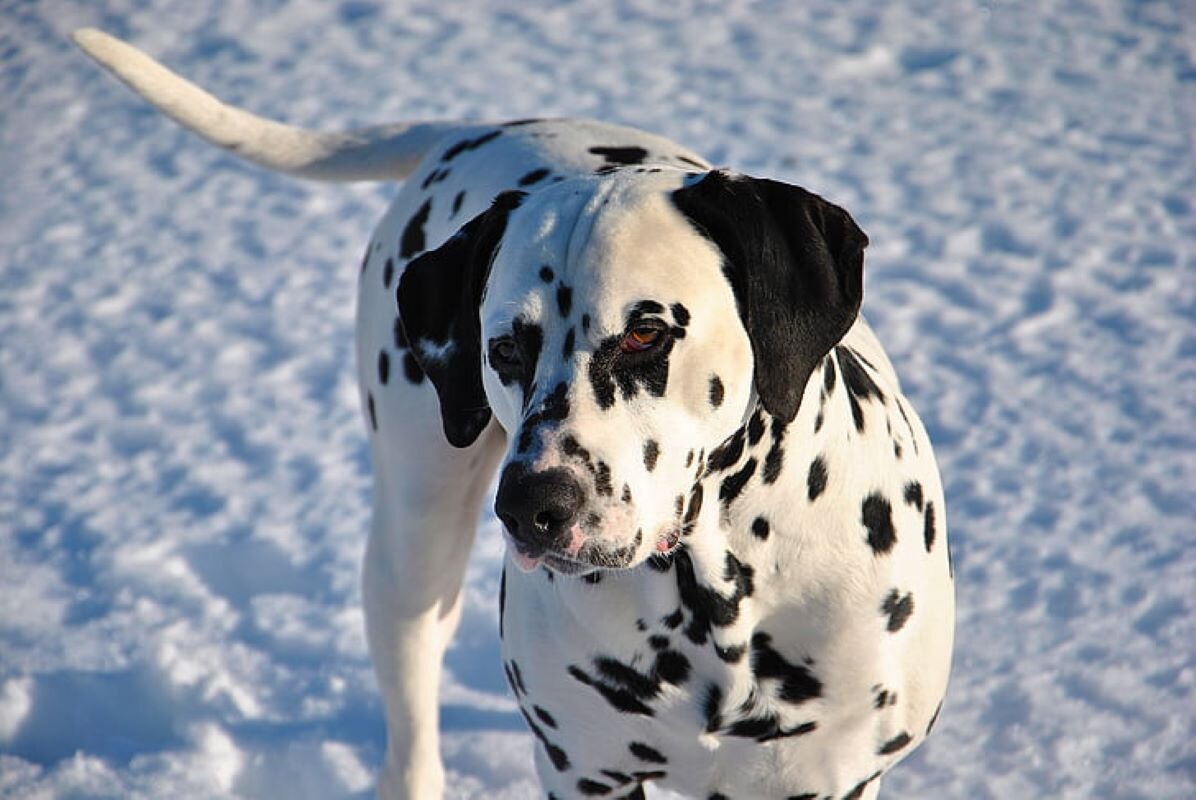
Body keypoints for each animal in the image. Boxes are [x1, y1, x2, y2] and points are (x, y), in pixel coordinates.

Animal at [74, 29, 952, 798]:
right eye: (503, 350)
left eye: (646, 331)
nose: (532, 506)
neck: (718, 599)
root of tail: (475, 129)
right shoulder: (584, 773)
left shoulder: (827, 779)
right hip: (414, 542)